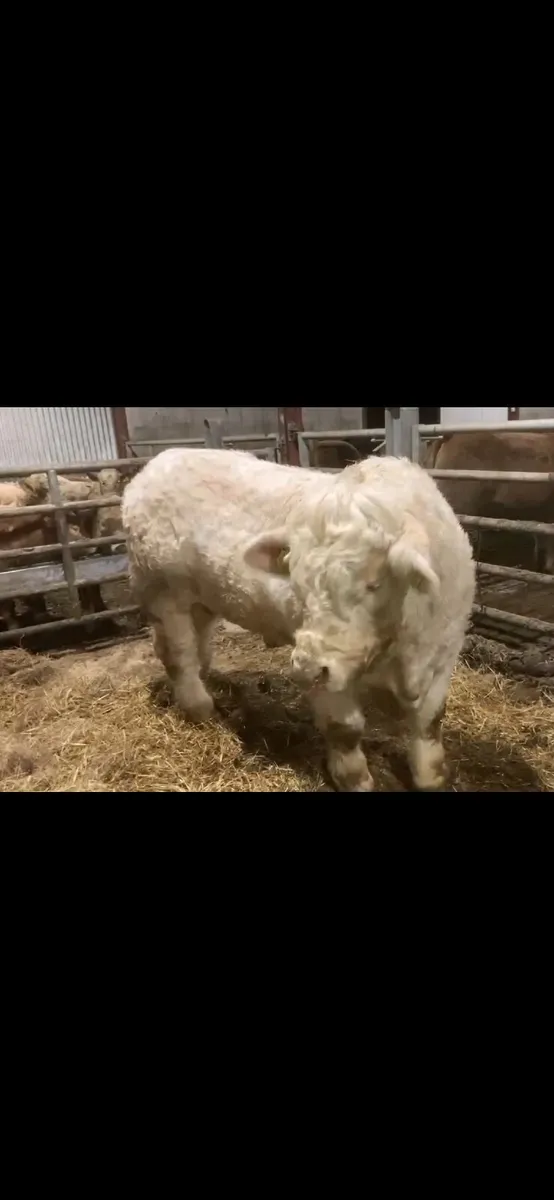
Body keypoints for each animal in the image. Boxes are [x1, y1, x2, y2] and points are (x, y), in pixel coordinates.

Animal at [122, 449, 475, 792]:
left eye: (373, 584)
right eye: (297, 581)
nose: (306, 667)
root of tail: (154, 466)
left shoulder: (444, 654)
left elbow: (430, 721)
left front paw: (432, 776)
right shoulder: (329, 678)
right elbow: (344, 729)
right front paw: (354, 779)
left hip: (202, 601)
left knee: (198, 645)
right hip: (164, 593)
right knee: (178, 653)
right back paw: (199, 707)